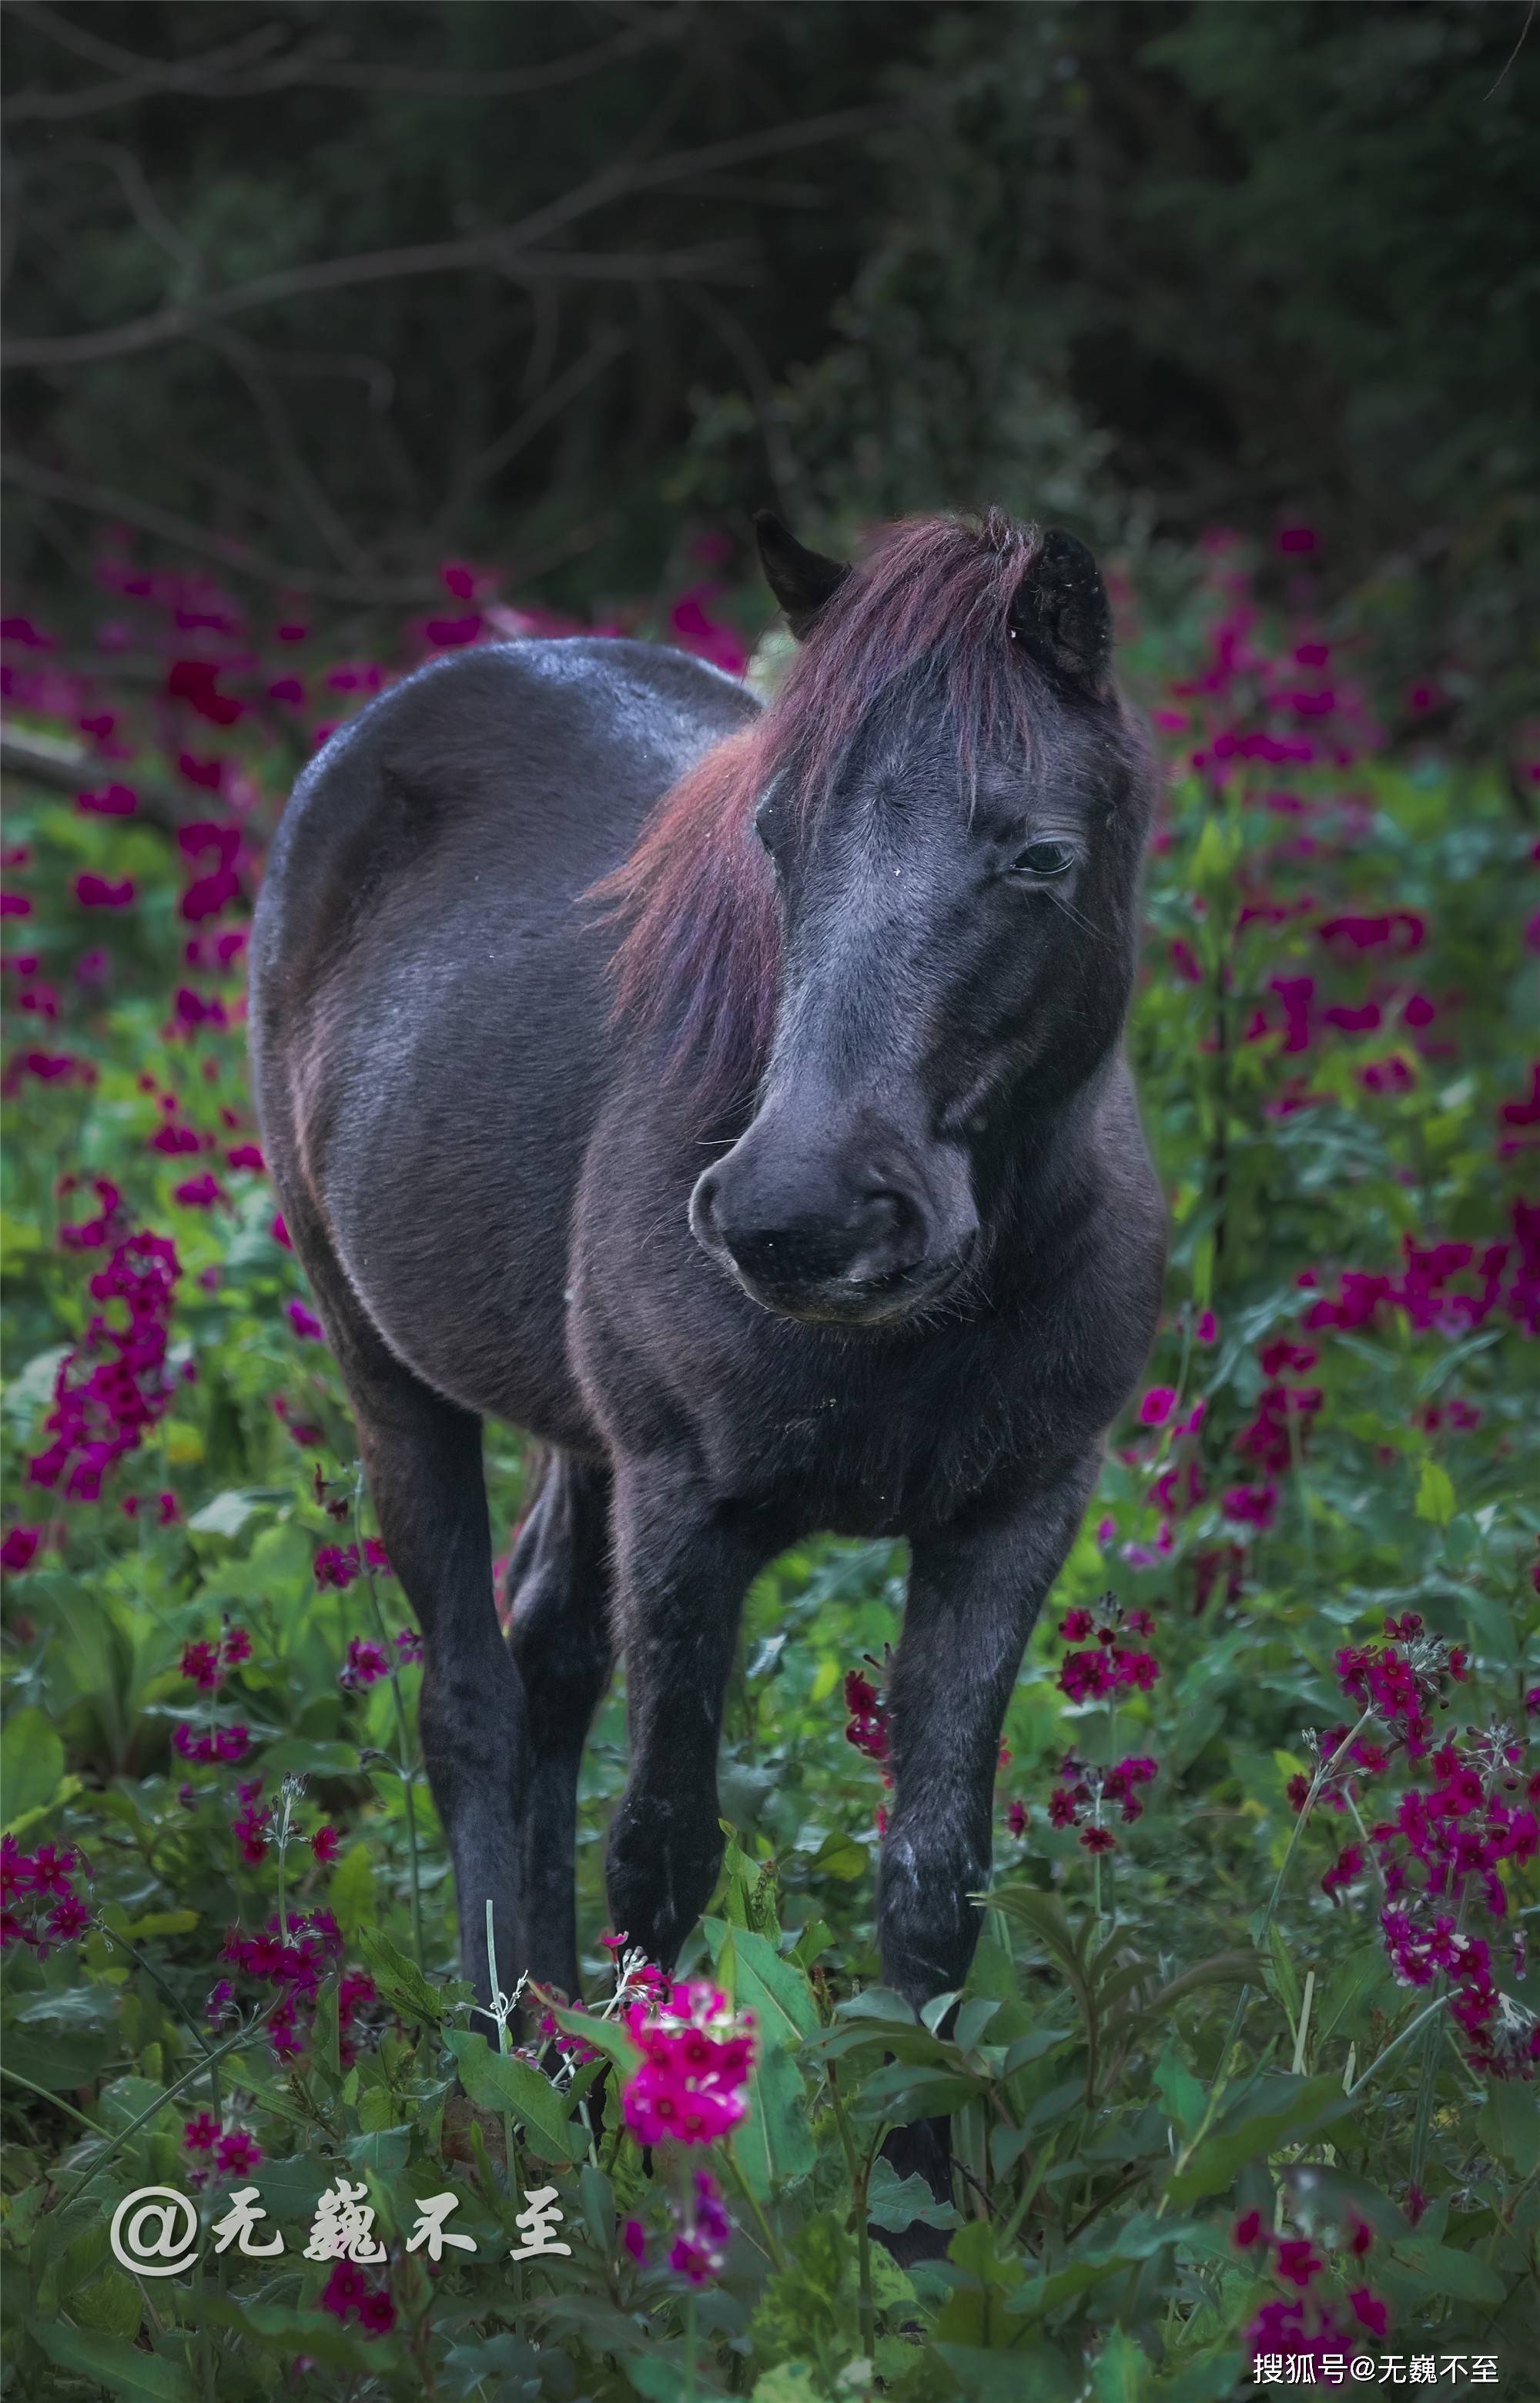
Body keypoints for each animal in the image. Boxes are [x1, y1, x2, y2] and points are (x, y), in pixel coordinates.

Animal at [249, 502, 1163, 2163]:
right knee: (474, 1709)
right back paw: (508, 2061)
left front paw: (923, 2202)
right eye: (775, 839)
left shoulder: (1015, 1516)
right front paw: (649, 2175)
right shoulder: (689, 1512)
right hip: (386, 1375)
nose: (797, 1215)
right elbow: (661, 1855)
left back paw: (549, 2047)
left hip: (578, 1437)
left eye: (1037, 857)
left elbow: (932, 1890)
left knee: (546, 1666)